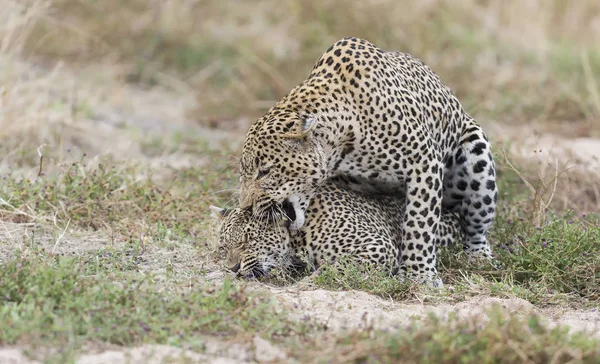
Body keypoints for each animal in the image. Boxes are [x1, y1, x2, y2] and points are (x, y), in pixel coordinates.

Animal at [211, 178, 464, 278]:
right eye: (224, 247)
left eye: (249, 240)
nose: (233, 268)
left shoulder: (377, 245)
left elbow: (337, 266)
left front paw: (310, 280)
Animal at [238, 37, 496, 288]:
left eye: (264, 172)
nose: (246, 207)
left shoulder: (424, 162)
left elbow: (420, 222)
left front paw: (419, 275)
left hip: (478, 160)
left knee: (474, 228)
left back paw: (478, 258)